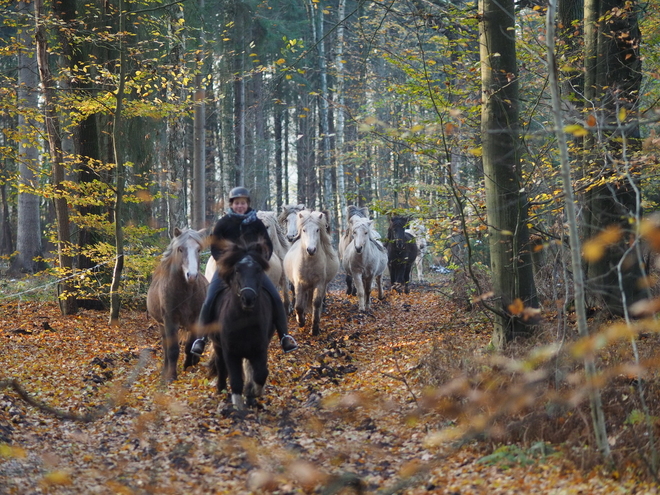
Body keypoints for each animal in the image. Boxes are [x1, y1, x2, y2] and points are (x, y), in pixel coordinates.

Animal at [147, 229, 209, 384]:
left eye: (198, 249)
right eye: (180, 249)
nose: (191, 275)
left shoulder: (195, 319)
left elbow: (189, 345)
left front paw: (189, 364)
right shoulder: (170, 320)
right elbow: (173, 349)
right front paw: (171, 376)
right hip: (161, 325)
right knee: (166, 347)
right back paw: (165, 371)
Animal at [209, 241, 276, 410]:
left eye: (258, 270)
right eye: (237, 270)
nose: (248, 298)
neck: (244, 322)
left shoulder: (259, 349)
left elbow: (260, 374)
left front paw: (252, 392)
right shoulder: (230, 352)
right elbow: (235, 380)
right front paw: (238, 407)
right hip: (218, 345)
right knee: (220, 365)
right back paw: (221, 388)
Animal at [282, 209, 338, 338]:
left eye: (317, 230)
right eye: (304, 230)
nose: (311, 250)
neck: (309, 263)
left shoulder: (319, 284)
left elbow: (316, 303)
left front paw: (314, 329)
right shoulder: (299, 284)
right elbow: (298, 305)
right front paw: (301, 322)